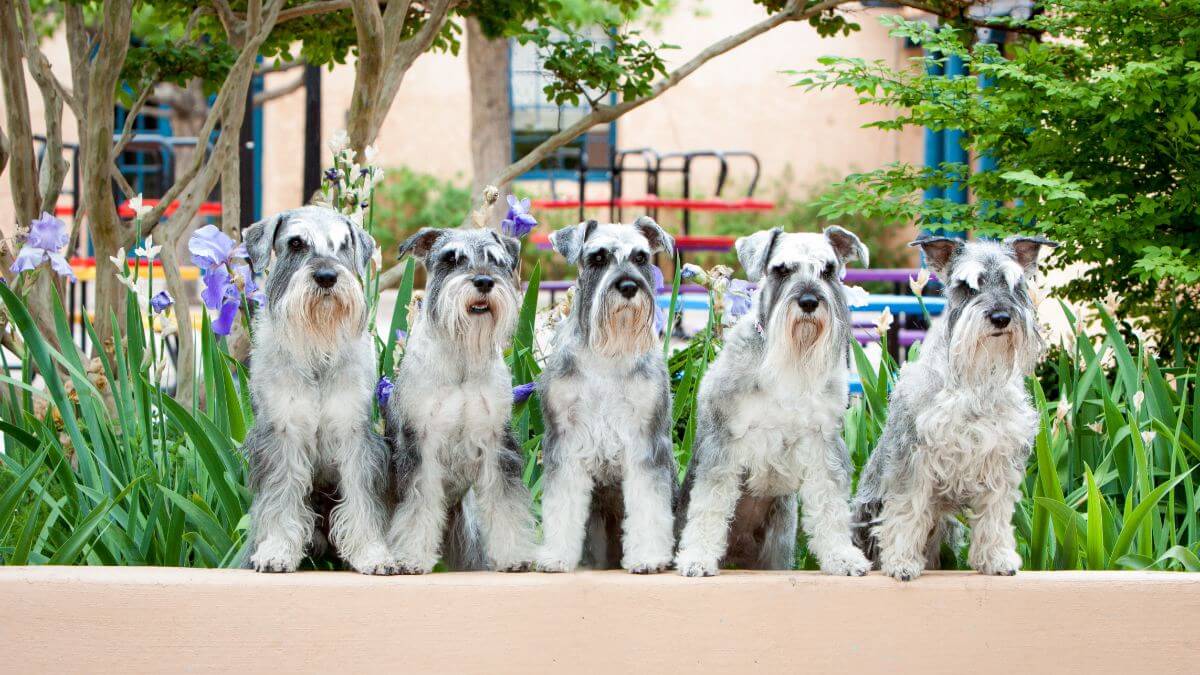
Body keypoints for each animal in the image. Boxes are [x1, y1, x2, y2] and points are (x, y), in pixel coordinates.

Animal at [240, 205, 398, 571]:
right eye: (296, 243)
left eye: (342, 245)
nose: (326, 276)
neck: (317, 353)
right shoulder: (281, 433)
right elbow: (281, 494)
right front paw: (277, 550)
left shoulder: (354, 433)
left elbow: (362, 496)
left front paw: (372, 553)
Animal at [384, 224, 535, 566]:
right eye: (451, 259)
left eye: (495, 260)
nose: (483, 282)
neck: (462, 359)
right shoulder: (421, 443)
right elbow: (418, 507)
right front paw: (411, 557)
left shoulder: (496, 441)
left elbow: (505, 505)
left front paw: (514, 555)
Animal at [540, 216, 681, 571]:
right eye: (599, 257)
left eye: (641, 257)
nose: (628, 286)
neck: (608, 352)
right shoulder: (565, 440)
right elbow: (561, 504)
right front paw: (556, 556)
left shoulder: (646, 440)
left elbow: (649, 505)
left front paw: (648, 557)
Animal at [676, 228, 873, 576]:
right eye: (781, 270)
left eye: (828, 271)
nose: (809, 302)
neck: (790, 360)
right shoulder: (723, 444)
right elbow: (710, 504)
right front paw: (697, 558)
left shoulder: (823, 443)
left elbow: (830, 504)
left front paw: (842, 557)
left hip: (777, 550)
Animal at [854, 233, 1060, 578]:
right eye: (967, 286)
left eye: (1014, 284)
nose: (1001, 318)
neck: (976, 378)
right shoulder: (914, 456)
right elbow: (907, 509)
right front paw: (901, 563)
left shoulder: (1000, 459)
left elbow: (995, 514)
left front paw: (996, 559)